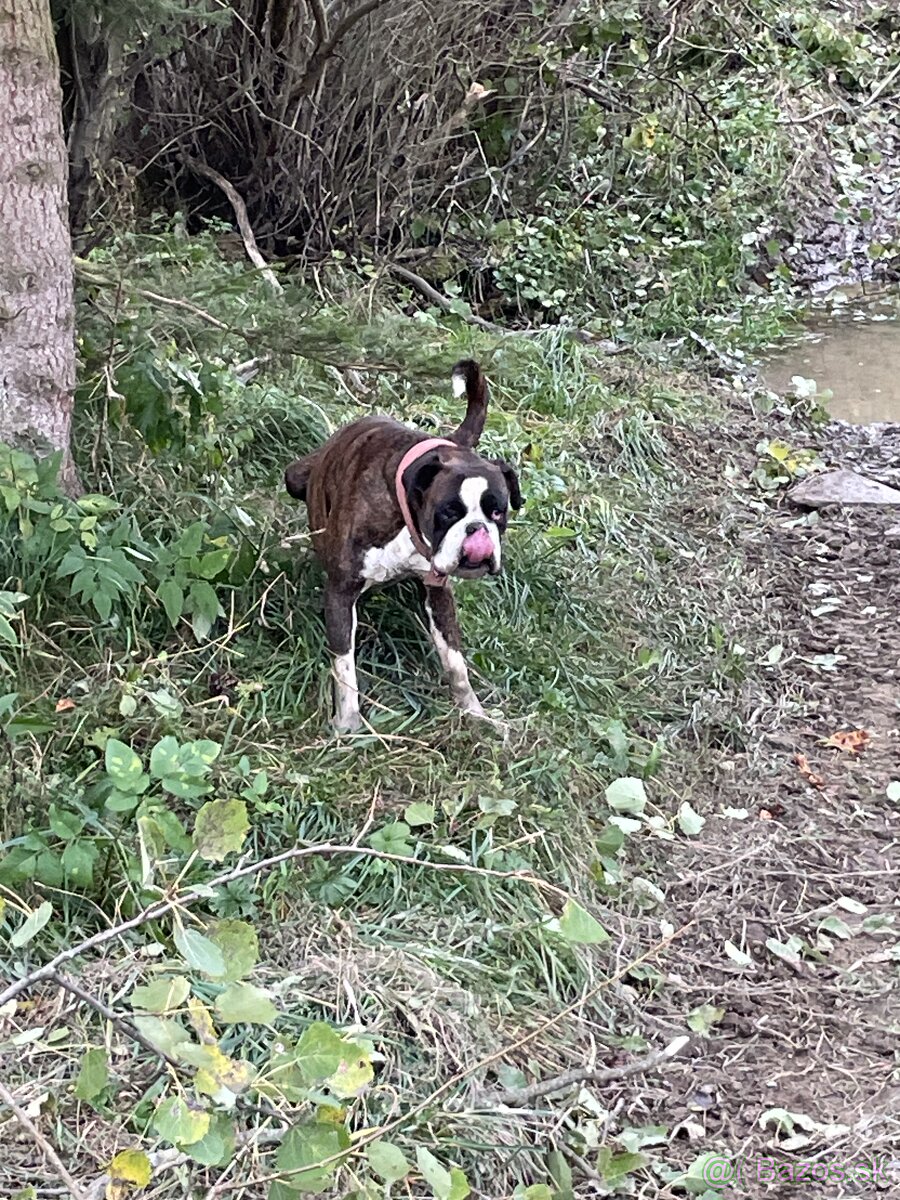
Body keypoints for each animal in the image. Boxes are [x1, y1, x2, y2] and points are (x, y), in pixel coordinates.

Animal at [285, 357, 525, 729]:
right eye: (448, 511)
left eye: (497, 511)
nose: (477, 530)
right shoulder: (341, 591)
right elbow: (345, 666)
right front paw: (348, 722)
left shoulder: (439, 594)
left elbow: (455, 663)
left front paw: (474, 713)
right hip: (294, 477)